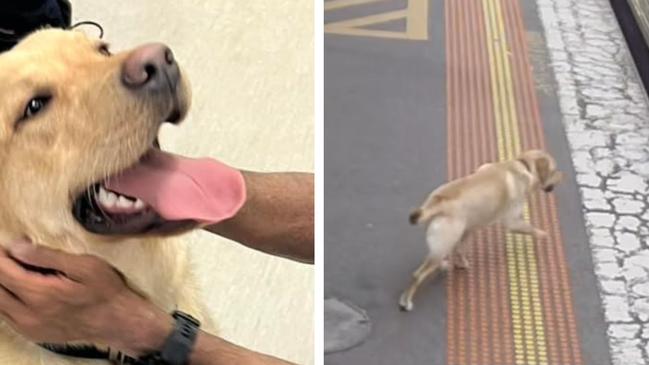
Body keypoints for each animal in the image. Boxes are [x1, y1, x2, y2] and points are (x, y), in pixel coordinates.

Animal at [398, 148, 560, 310]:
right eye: (554, 170)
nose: (562, 176)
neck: (523, 164)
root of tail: (438, 202)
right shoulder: (513, 222)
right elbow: (533, 230)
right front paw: (544, 235)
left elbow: (459, 250)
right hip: (448, 240)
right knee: (418, 274)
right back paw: (406, 301)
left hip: (456, 235)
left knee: (449, 251)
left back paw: (451, 263)